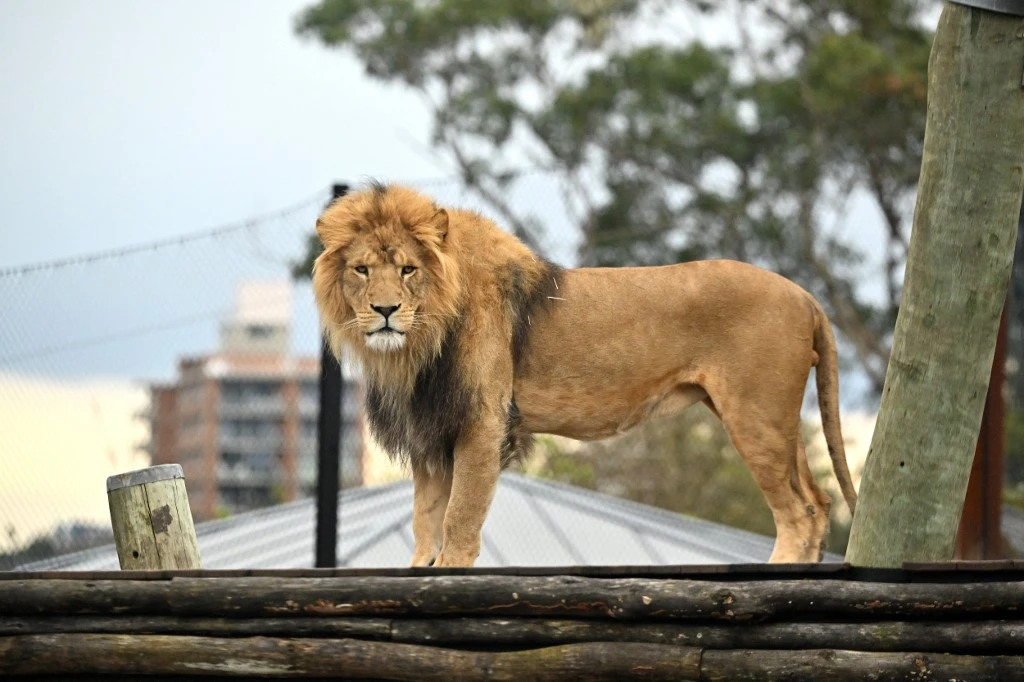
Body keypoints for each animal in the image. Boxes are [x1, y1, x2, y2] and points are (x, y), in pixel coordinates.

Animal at [312, 182, 858, 567]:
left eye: (407, 269)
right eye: (362, 270)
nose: (385, 311)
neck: (417, 346)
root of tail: (804, 295)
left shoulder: (482, 423)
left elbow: (458, 519)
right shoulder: (431, 430)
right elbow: (425, 521)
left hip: (755, 414)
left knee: (799, 511)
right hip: (777, 420)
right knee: (819, 502)